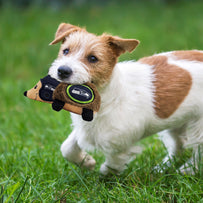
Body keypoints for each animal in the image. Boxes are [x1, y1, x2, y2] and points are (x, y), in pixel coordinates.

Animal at [48, 22, 203, 174]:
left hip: (198, 126)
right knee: (179, 145)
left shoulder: (119, 146)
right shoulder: (85, 129)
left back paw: (188, 170)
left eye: (93, 58)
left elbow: (111, 166)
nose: (63, 71)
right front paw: (87, 162)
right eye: (66, 51)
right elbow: (67, 148)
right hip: (176, 121)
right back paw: (162, 168)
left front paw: (104, 176)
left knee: (198, 151)